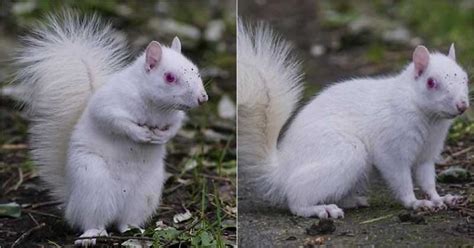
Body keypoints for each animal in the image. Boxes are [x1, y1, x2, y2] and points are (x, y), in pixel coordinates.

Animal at [12, 11, 207, 244]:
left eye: (195, 70)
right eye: (169, 77)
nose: (203, 97)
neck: (156, 107)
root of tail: (71, 201)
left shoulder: (175, 117)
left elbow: (175, 127)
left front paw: (162, 137)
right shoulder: (109, 104)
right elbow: (114, 121)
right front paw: (140, 133)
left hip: (144, 194)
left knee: (126, 221)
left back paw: (134, 229)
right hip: (94, 185)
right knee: (92, 220)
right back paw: (91, 234)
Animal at [239, 21, 468, 219]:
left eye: (465, 77)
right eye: (431, 82)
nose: (462, 105)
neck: (430, 119)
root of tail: (282, 170)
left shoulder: (427, 153)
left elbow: (427, 180)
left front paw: (440, 198)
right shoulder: (392, 147)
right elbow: (401, 178)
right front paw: (415, 203)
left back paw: (352, 201)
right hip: (346, 153)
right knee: (296, 198)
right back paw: (320, 209)